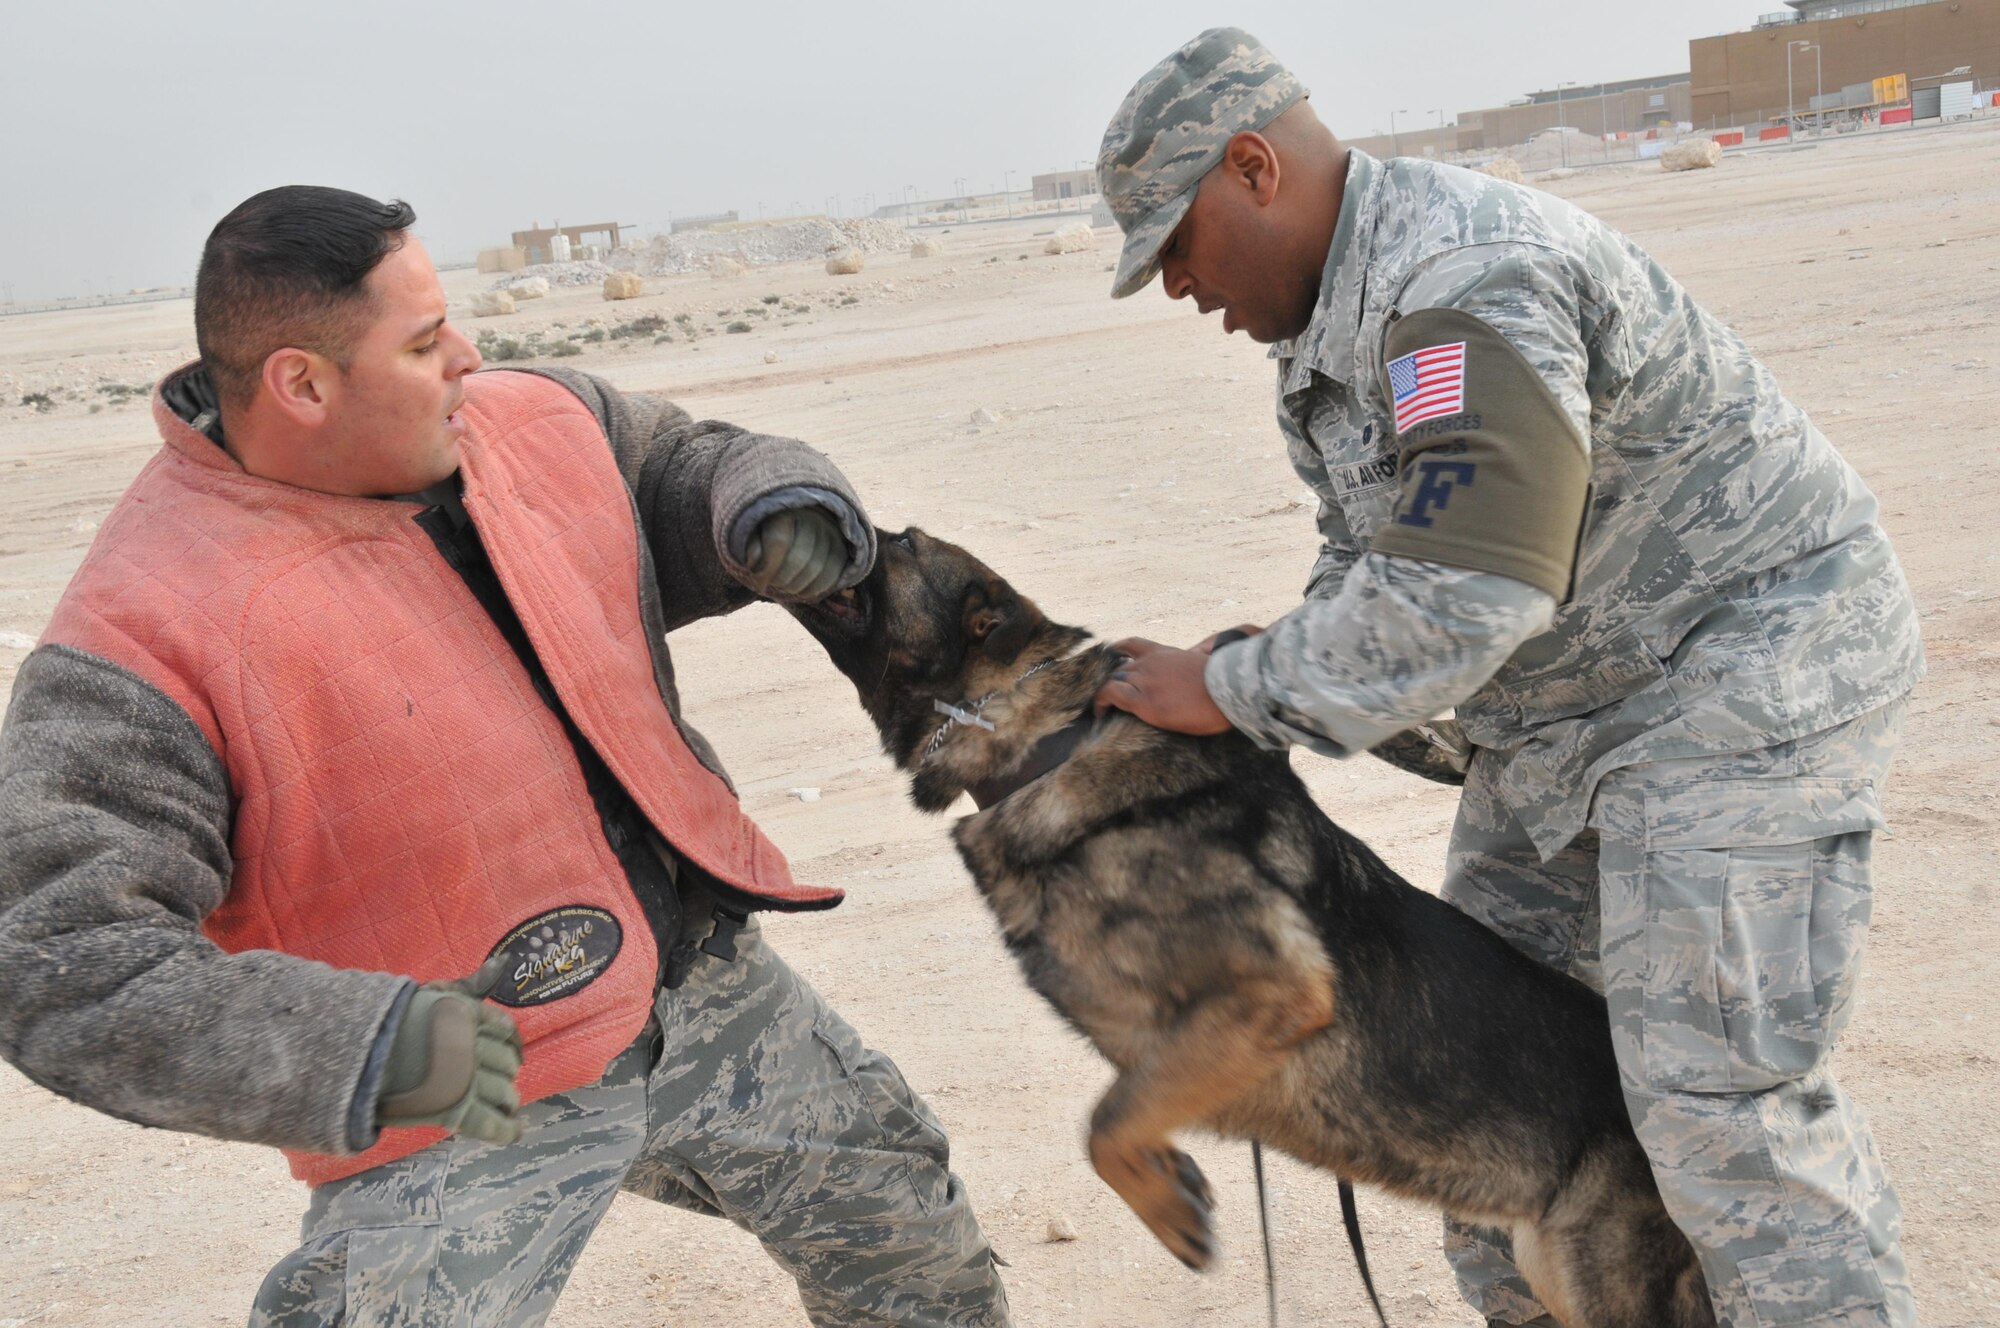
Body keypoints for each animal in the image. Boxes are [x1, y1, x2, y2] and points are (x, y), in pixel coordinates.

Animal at [788, 528, 1712, 1328]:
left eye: (904, 543)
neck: (1052, 742)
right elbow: (1119, 1115)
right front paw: (1168, 1180)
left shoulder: (1271, 995)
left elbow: (1102, 1124)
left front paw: (1170, 1210)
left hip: (1589, 1271)